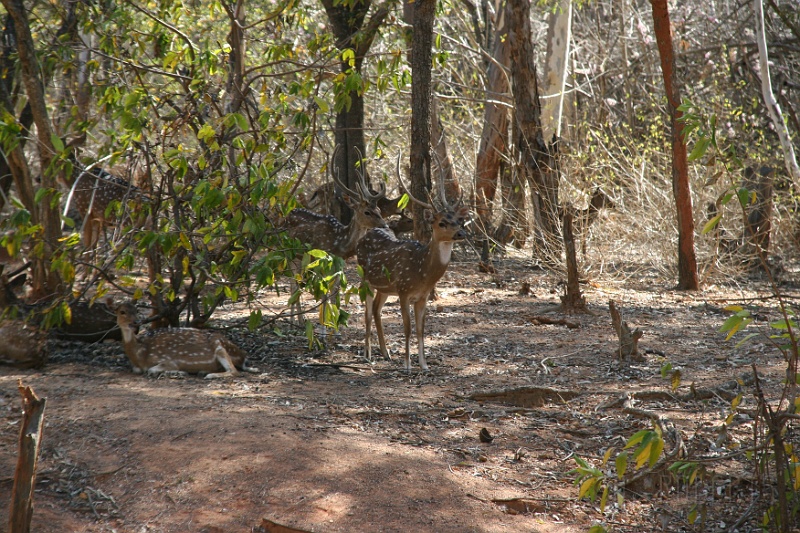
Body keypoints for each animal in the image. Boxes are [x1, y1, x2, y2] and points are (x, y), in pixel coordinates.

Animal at [113, 300, 253, 378]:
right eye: (122, 312)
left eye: (137, 310)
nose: (136, 322)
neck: (140, 354)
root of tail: (243, 355)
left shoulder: (168, 360)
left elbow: (151, 370)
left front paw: (178, 372)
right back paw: (203, 372)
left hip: (219, 345)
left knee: (235, 372)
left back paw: (209, 375)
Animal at [356, 152, 468, 372]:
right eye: (442, 223)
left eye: (458, 220)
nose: (461, 233)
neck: (422, 272)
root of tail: (364, 236)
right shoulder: (403, 291)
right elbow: (407, 329)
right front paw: (407, 365)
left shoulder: (422, 297)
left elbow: (420, 330)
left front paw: (424, 365)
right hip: (366, 279)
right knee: (366, 312)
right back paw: (367, 355)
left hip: (384, 288)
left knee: (376, 310)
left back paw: (385, 353)